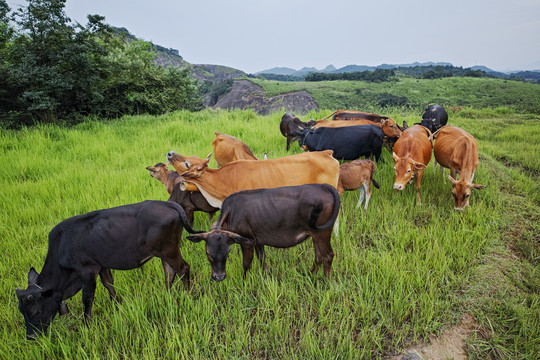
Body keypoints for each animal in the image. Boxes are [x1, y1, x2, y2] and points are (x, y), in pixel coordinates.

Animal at [16, 201, 204, 338]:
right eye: (21, 312)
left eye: (35, 312)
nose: (30, 337)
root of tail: (165, 203)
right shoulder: (102, 265)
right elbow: (109, 285)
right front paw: (117, 305)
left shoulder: (87, 271)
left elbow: (87, 299)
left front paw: (86, 326)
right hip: (165, 252)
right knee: (169, 272)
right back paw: (166, 295)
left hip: (168, 250)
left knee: (183, 269)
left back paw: (188, 295)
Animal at [188, 183, 340, 282]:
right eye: (208, 253)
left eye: (228, 252)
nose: (219, 277)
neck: (231, 212)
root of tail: (323, 186)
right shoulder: (258, 240)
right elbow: (262, 258)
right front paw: (266, 276)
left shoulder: (247, 241)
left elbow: (246, 264)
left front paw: (244, 282)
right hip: (315, 234)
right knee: (318, 255)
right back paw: (310, 274)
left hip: (322, 233)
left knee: (327, 255)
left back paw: (326, 282)